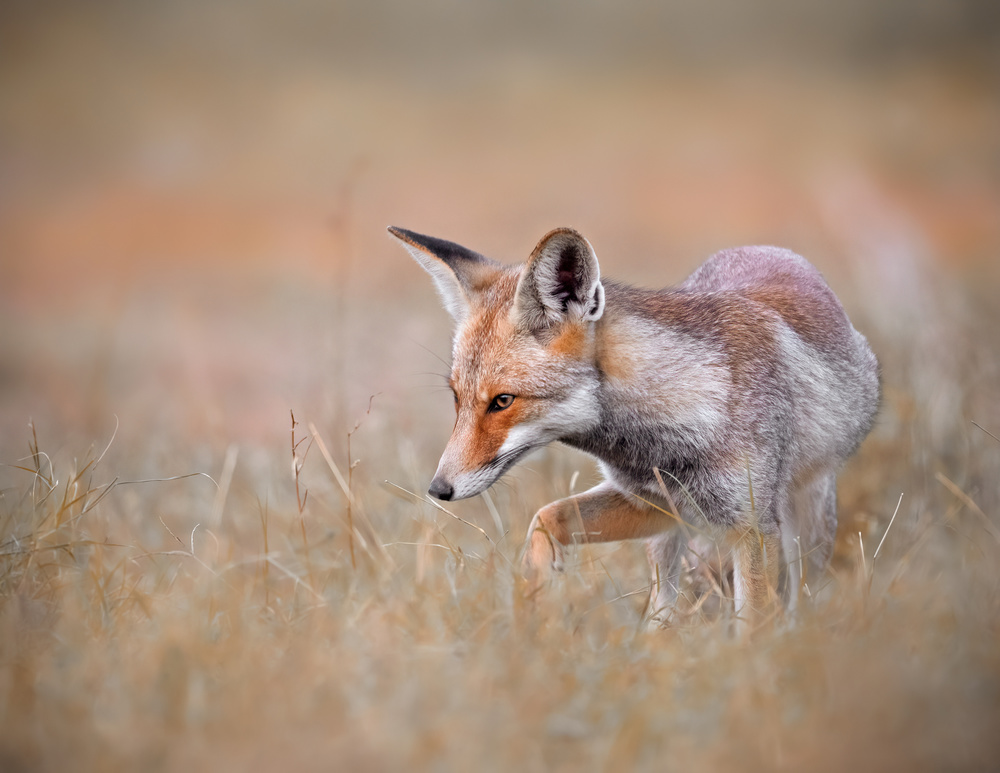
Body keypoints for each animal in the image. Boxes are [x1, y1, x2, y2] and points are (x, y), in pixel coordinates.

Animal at [390, 225, 880, 624]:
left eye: (502, 401)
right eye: (457, 398)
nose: (438, 489)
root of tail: (765, 248)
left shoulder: (754, 527)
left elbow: (753, 626)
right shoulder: (652, 504)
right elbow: (546, 518)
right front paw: (539, 597)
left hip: (808, 522)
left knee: (802, 594)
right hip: (670, 539)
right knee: (665, 602)